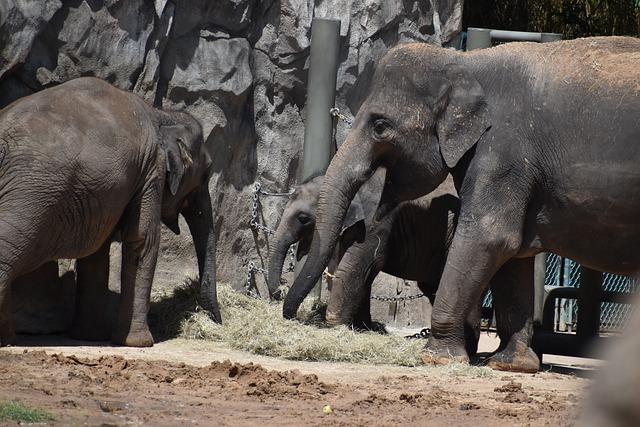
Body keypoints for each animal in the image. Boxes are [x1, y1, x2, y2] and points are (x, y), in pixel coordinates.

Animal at [0, 77, 219, 348]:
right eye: (206, 174)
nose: (215, 321)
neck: (161, 114)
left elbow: (96, 253)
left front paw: (89, 337)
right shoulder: (151, 169)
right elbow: (143, 239)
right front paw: (139, 343)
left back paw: (7, 338)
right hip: (33, 192)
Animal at [284, 36, 640, 372]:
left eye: (380, 125)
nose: (290, 315)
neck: (466, 62)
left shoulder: (503, 152)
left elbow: (490, 237)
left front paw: (436, 358)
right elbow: (515, 251)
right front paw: (510, 364)